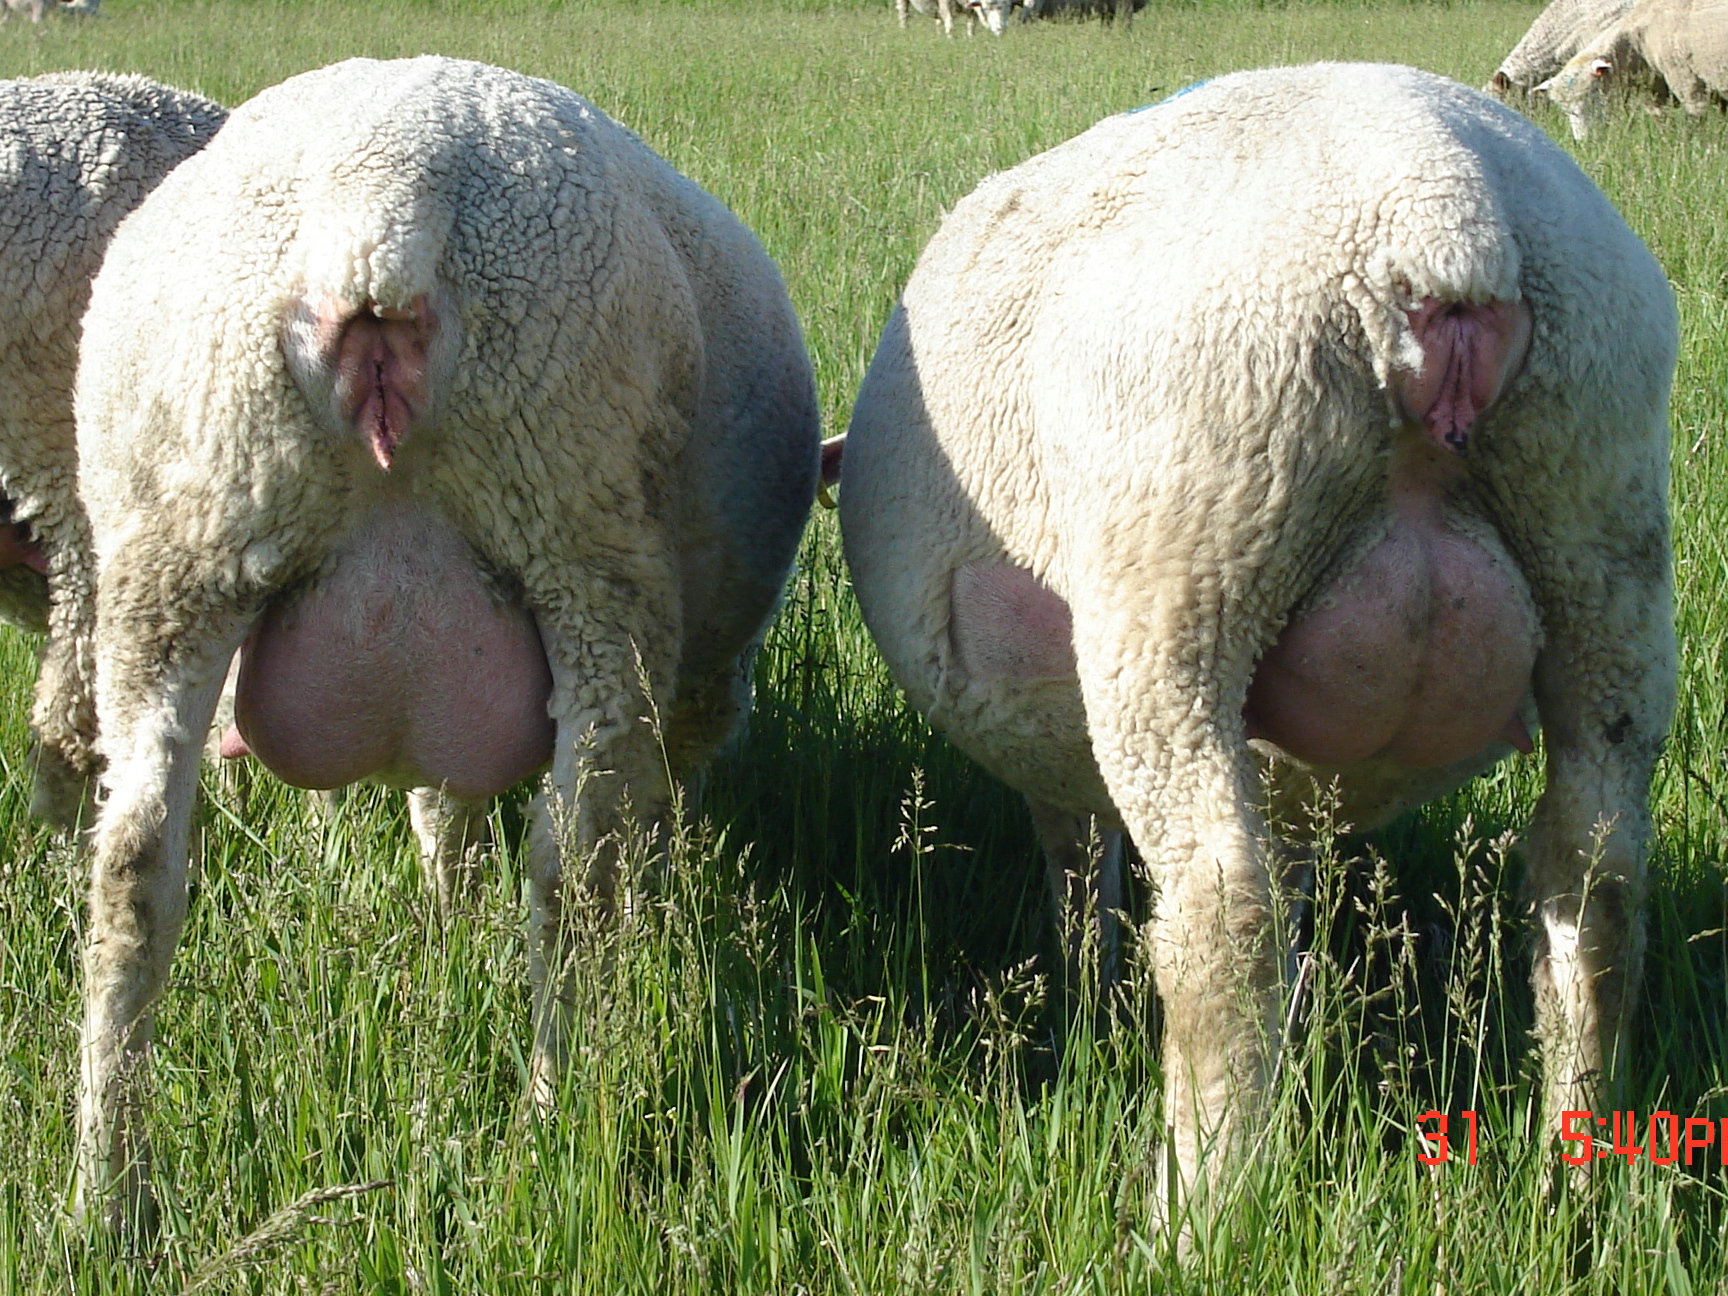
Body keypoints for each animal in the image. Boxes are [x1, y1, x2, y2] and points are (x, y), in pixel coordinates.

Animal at [69, 55, 819, 1232]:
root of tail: (378, 214)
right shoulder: (678, 687)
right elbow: (625, 822)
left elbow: (442, 800)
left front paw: (449, 912)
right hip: (584, 536)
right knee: (572, 874)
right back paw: (555, 1123)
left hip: (181, 540)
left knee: (134, 875)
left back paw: (107, 1196)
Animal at [839, 62, 1676, 1221]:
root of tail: (1443, 208)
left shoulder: (1059, 740)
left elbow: (1079, 862)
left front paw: (1088, 995)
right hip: (1602, 537)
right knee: (1595, 884)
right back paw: (1576, 1168)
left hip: (1185, 562)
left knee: (1222, 914)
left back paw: (1197, 1210)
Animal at [1535, 0, 1728, 138]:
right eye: (1566, 111)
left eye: (1592, 98)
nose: (1584, 142)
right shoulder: (1653, 91)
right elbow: (1660, 120)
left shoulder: (1685, 79)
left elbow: (1696, 118)